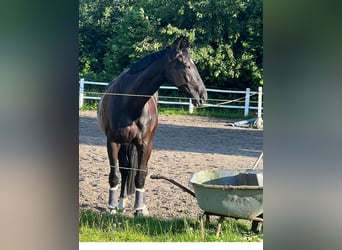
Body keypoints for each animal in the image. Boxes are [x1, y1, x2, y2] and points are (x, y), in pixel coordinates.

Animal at [97, 37, 207, 217]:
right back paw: (120, 203)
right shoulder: (112, 142)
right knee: (125, 170)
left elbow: (141, 176)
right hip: (124, 143)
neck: (129, 103)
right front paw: (112, 208)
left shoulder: (145, 145)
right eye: (186, 65)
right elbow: (114, 175)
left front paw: (139, 210)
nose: (203, 95)